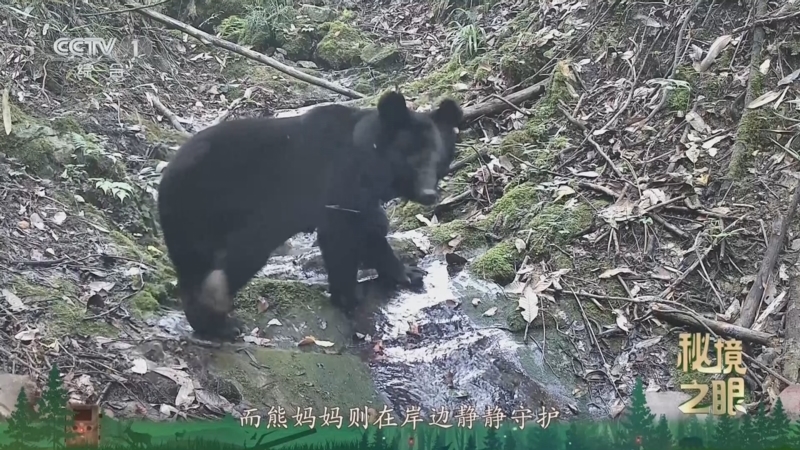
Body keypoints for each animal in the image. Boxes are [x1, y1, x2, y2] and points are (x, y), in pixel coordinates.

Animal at [158, 91, 451, 340]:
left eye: (437, 161)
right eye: (412, 160)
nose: (429, 194)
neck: (367, 158)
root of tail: (166, 180)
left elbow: (369, 230)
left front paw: (408, 272)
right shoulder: (337, 182)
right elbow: (341, 235)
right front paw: (348, 295)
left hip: (191, 229)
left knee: (194, 270)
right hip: (221, 205)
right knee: (243, 252)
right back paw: (219, 318)